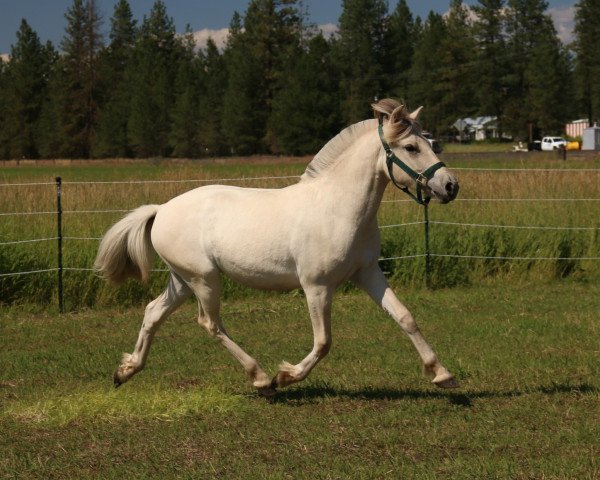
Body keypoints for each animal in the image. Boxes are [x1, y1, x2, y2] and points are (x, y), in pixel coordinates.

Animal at [94, 99, 460, 396]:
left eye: (432, 144)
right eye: (411, 147)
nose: (450, 186)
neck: (338, 208)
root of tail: (161, 210)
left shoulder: (367, 273)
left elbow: (405, 317)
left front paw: (442, 374)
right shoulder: (316, 286)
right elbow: (324, 341)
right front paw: (287, 376)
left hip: (183, 280)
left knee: (154, 311)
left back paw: (126, 370)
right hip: (204, 280)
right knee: (210, 323)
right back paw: (261, 379)